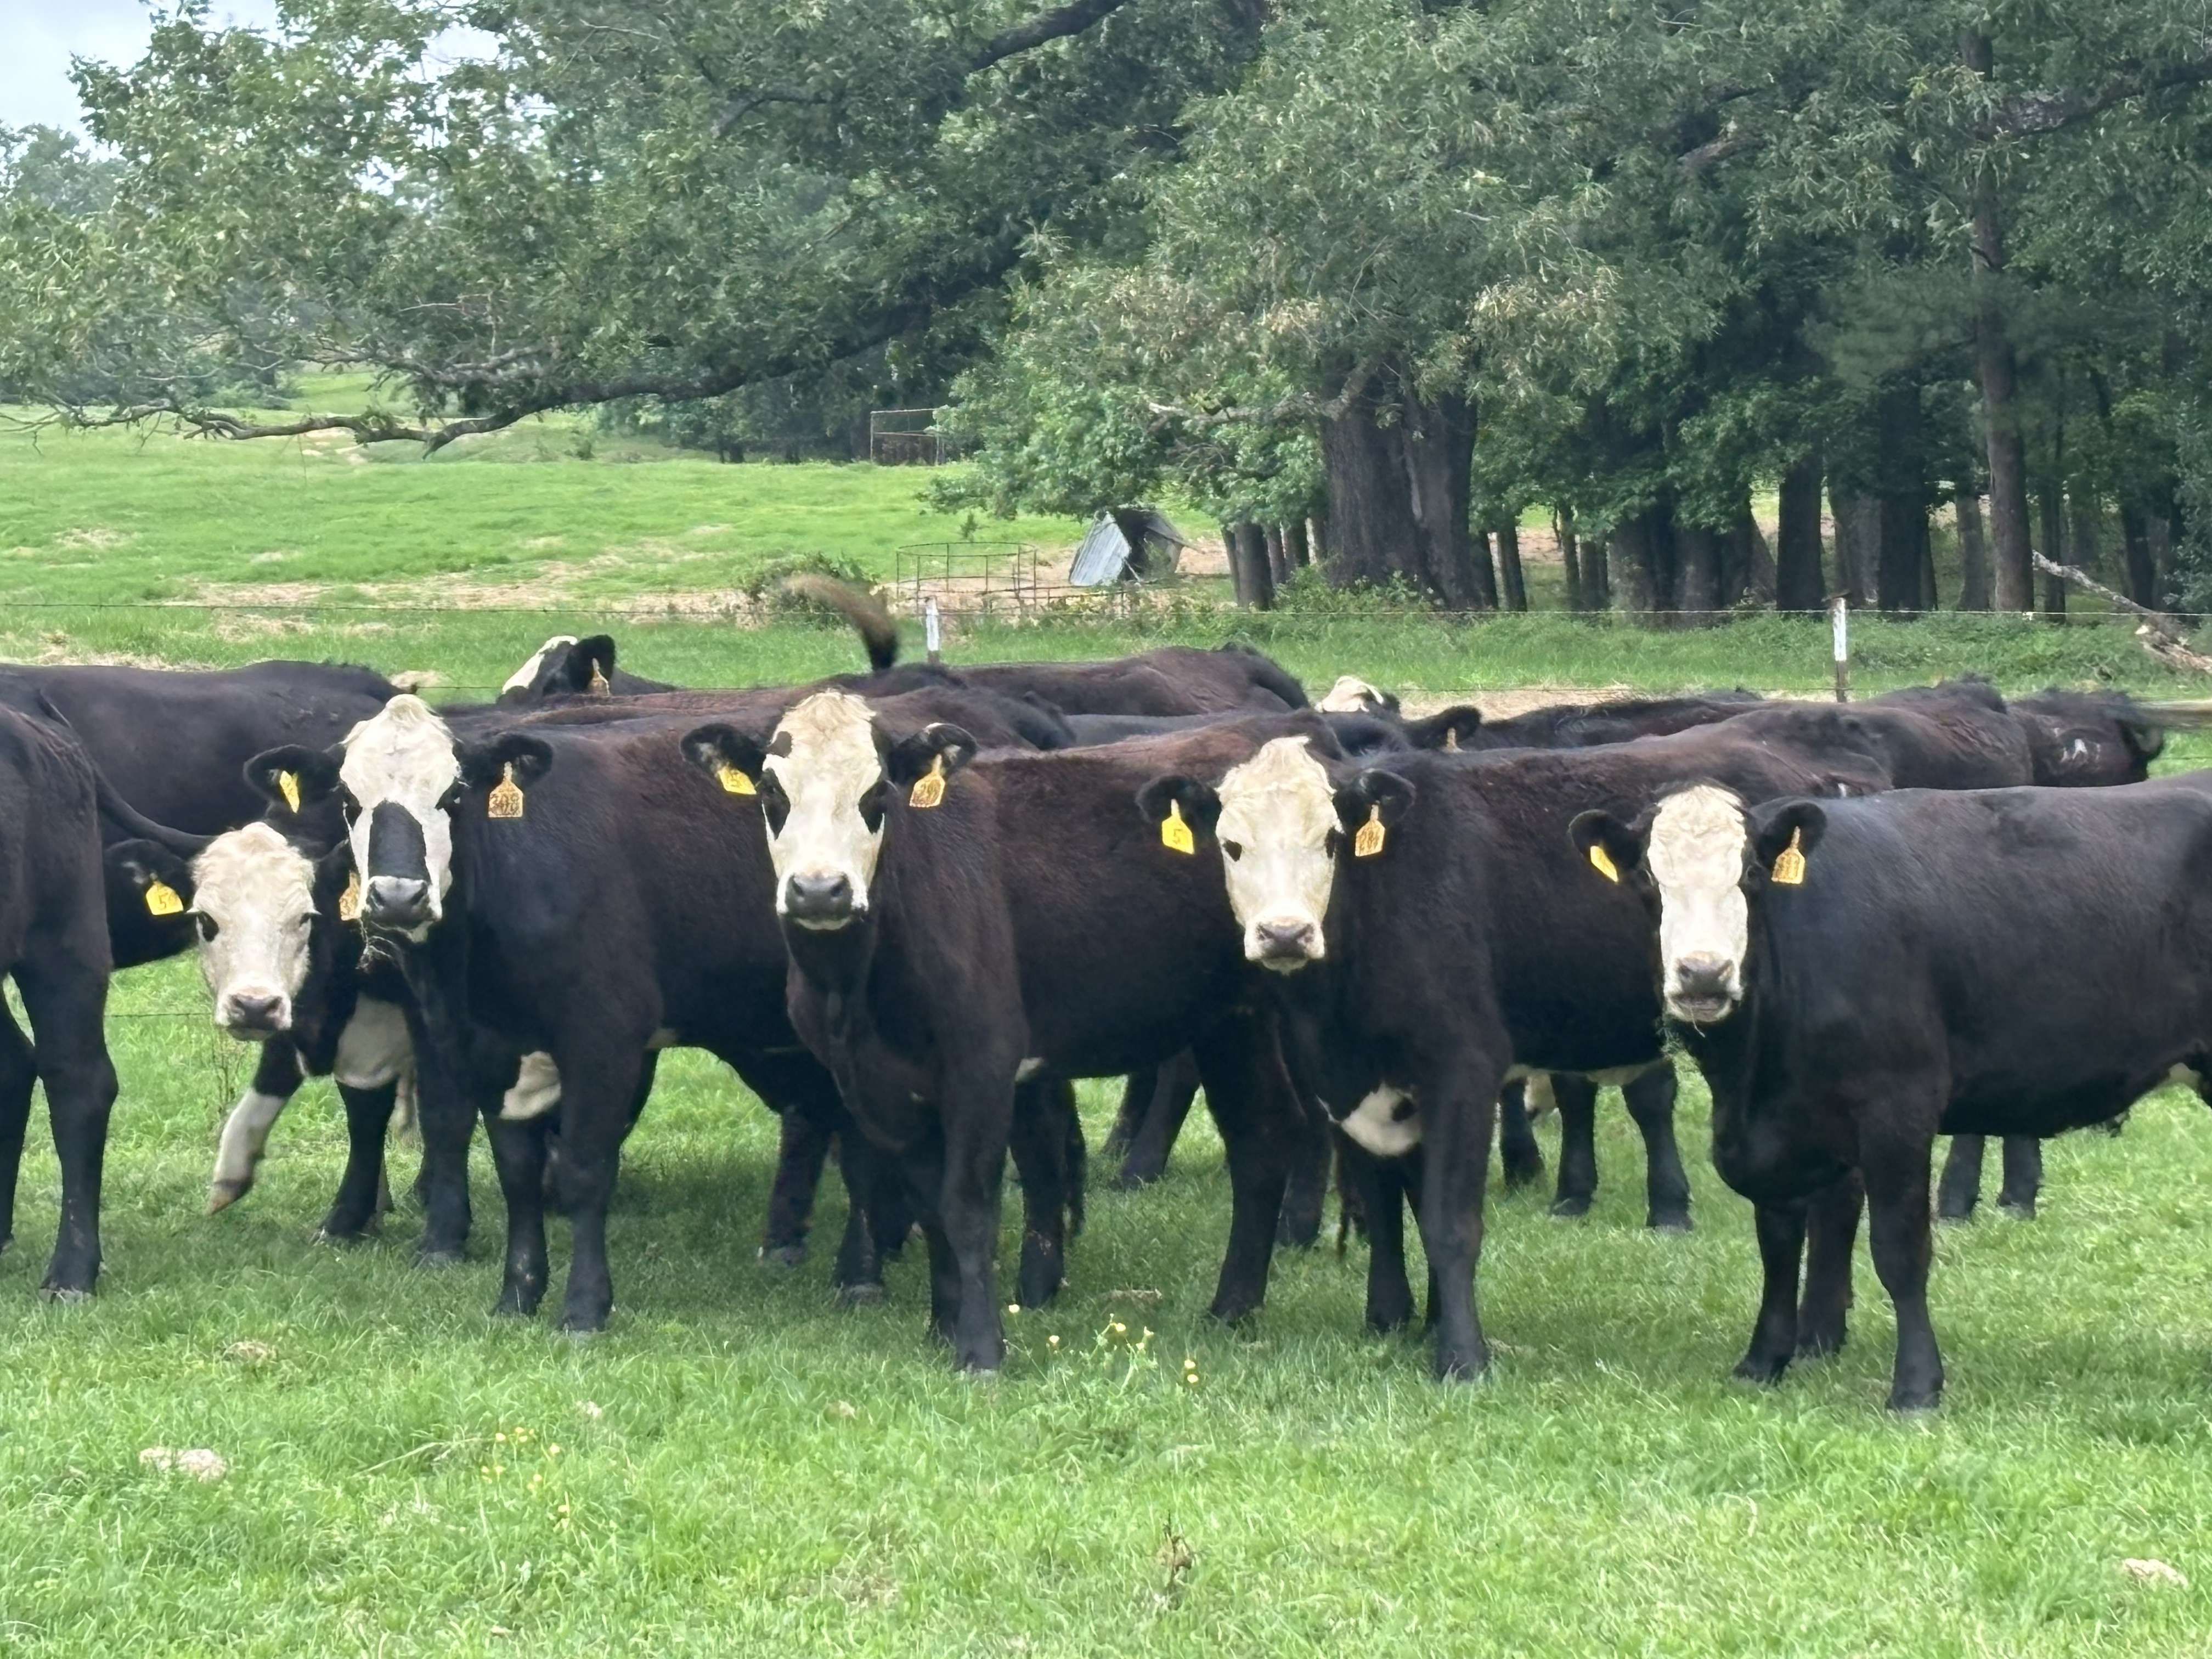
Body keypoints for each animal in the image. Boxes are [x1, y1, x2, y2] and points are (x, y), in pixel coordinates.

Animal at [683, 697, 1327, 1372]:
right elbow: (930, 1206)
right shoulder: (883, 1089)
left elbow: (967, 1206)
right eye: (771, 792)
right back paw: (1233, 1306)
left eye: (877, 792)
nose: (819, 891)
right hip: (1230, 1023)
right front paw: (943, 1326)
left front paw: (980, 1348)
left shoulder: (982, 1070)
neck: (855, 990)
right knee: (1260, 1137)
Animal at [1133, 725, 1889, 1379]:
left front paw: (1462, 1357)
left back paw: (1819, 1332)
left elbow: (1449, 1219)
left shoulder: (1463, 1069)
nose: (1285, 934)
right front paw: (1394, 1320)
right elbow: (1388, 1205)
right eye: (1232, 846)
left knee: (1841, 1190)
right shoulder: (1352, 1087)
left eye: (1329, 840)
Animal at [1571, 777, 2212, 1410]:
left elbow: (1899, 1249)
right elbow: (1778, 1245)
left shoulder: (1897, 1109)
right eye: (1649, 878)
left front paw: (1916, 1387)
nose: (1703, 974)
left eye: (1751, 873)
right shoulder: (1773, 1134)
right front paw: (1763, 1361)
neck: (1754, 1074)